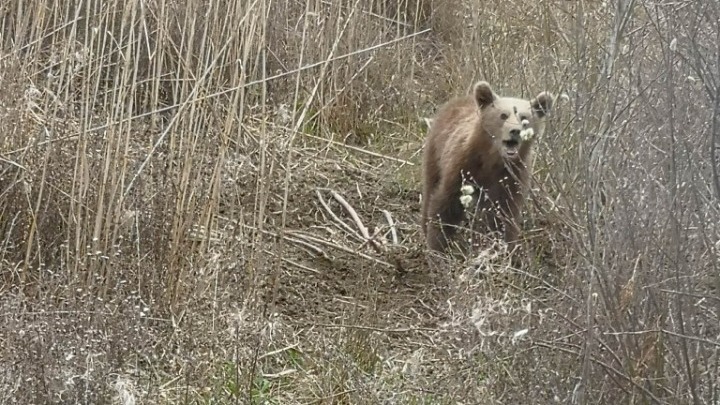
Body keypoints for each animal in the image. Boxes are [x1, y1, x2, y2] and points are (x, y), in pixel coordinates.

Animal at [420, 79, 556, 252]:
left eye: (524, 117)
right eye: (503, 115)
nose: (515, 131)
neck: (492, 159)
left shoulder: (511, 177)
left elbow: (503, 215)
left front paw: (503, 247)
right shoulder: (462, 167)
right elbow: (445, 205)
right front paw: (437, 244)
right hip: (436, 150)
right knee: (430, 187)